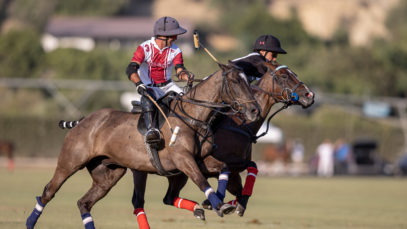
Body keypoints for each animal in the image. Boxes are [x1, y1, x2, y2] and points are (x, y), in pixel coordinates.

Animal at [26, 63, 262, 229]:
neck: (192, 117)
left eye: (248, 80)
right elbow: (202, 181)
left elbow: (223, 168)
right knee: (48, 192)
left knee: (84, 203)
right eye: (235, 82)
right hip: (70, 162)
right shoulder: (183, 160)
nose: (254, 111)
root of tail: (83, 120)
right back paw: (30, 222)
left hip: (108, 174)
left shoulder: (200, 161)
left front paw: (221, 203)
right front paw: (219, 204)